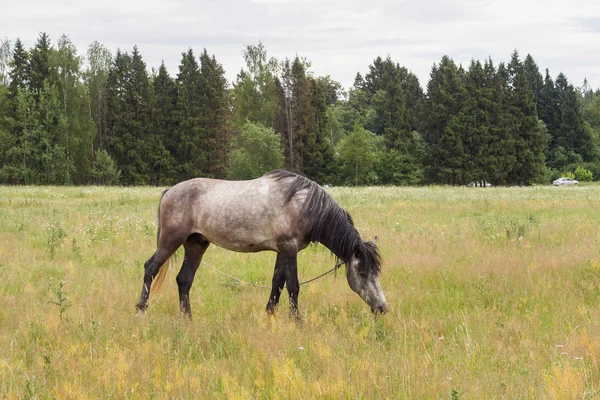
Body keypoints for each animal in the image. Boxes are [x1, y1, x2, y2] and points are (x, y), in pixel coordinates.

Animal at [137, 170, 390, 318]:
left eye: (377, 272)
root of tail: (170, 191)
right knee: (150, 268)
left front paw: (270, 314)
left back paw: (187, 318)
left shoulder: (282, 251)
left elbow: (277, 283)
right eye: (362, 272)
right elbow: (293, 286)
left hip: (196, 244)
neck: (304, 205)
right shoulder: (289, 248)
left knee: (184, 279)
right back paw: (141, 309)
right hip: (171, 240)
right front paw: (297, 321)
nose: (382, 308)